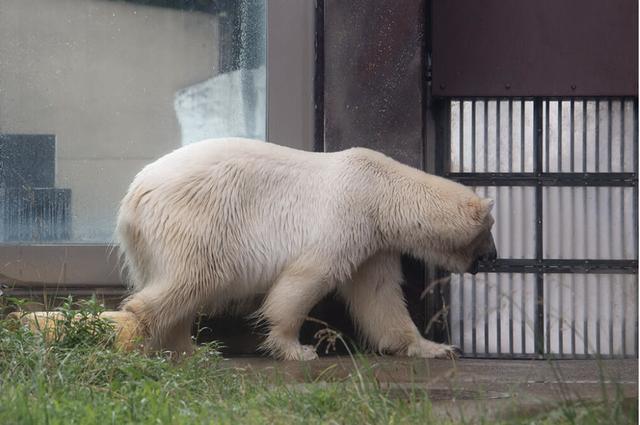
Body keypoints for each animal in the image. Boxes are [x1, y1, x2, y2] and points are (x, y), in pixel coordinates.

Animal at [117, 137, 498, 360]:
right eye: (490, 230)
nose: (493, 257)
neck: (380, 190)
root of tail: (134, 197)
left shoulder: (374, 244)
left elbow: (380, 295)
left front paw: (436, 347)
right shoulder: (347, 218)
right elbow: (308, 278)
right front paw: (297, 348)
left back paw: (191, 349)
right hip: (198, 220)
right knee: (195, 278)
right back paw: (131, 333)